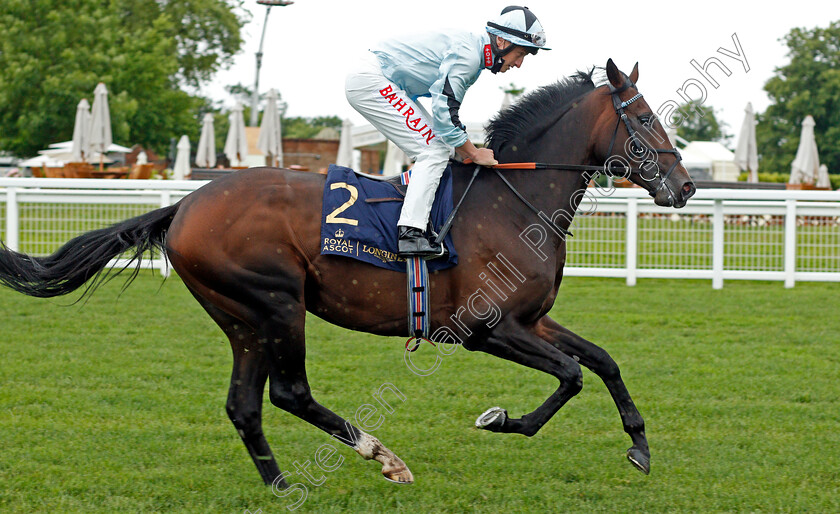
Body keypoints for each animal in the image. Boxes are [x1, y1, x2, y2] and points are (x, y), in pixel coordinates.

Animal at [0, 59, 696, 484]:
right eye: (643, 119)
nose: (686, 187)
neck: (512, 200)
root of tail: (184, 206)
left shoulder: (532, 319)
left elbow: (602, 362)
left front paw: (638, 445)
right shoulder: (488, 328)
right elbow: (571, 375)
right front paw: (502, 420)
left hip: (242, 318)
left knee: (244, 404)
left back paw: (281, 483)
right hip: (276, 303)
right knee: (289, 393)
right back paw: (381, 456)